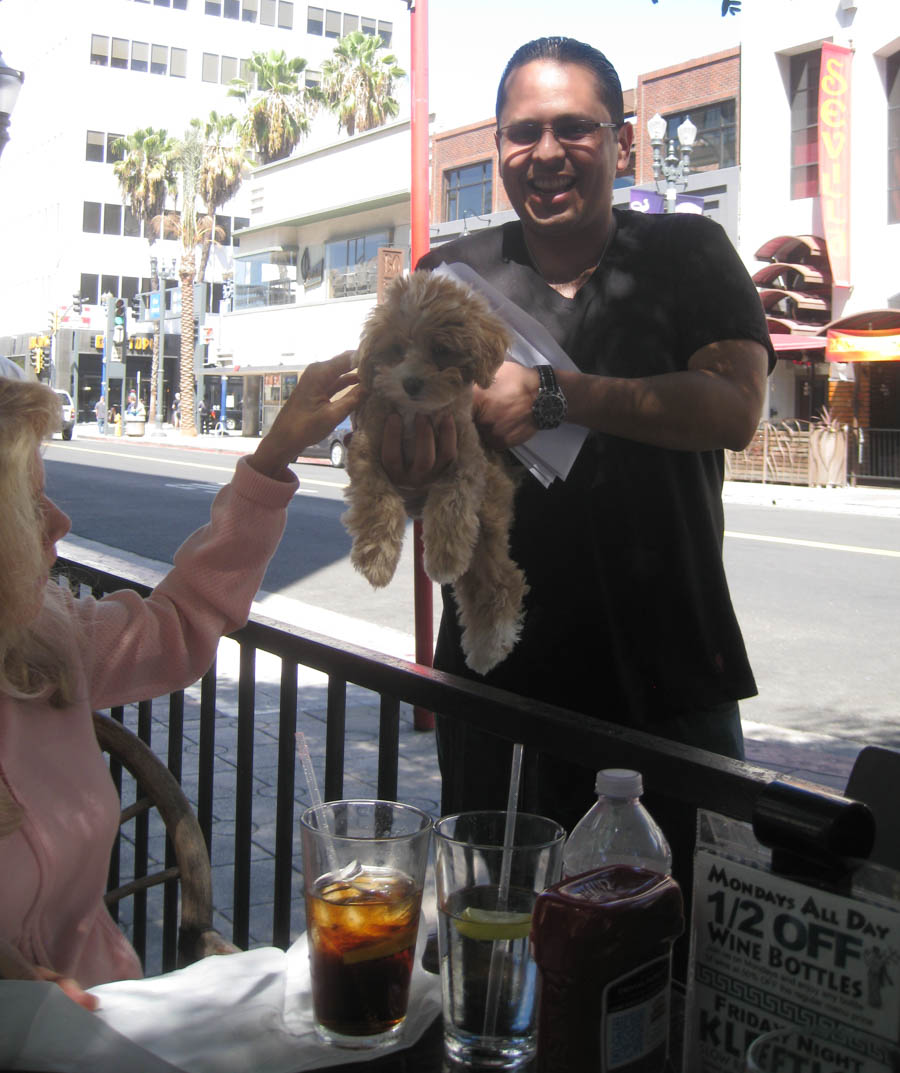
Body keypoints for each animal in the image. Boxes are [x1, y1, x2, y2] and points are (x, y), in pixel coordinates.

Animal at [345, 270, 527, 669]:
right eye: (396, 350)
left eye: (442, 351)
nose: (411, 382)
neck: (417, 417)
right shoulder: (367, 452)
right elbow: (378, 501)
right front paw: (377, 560)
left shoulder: (464, 460)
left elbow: (453, 503)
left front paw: (445, 557)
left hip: (489, 516)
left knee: (504, 580)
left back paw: (491, 645)